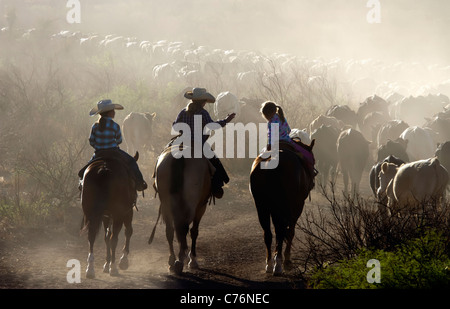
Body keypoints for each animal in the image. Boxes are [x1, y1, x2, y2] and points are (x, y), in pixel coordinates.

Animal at [149, 146, 214, 274]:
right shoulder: (201, 207)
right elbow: (194, 231)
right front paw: (192, 260)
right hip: (192, 204)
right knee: (183, 228)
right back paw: (181, 260)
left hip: (166, 203)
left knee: (170, 230)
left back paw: (172, 260)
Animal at [250, 140, 316, 274]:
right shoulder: (296, 206)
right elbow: (290, 232)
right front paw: (287, 260)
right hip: (281, 207)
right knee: (280, 231)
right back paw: (279, 264)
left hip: (262, 207)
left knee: (268, 233)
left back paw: (269, 264)